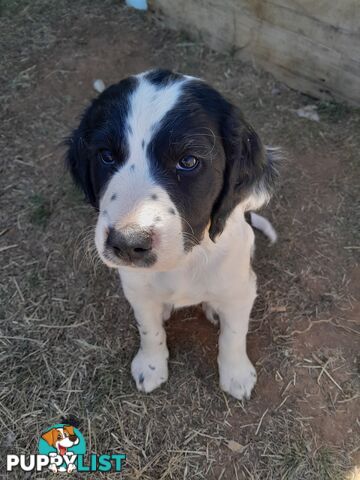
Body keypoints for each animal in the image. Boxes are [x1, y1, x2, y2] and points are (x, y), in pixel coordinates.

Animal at [69, 68, 280, 402]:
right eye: (105, 156)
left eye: (188, 161)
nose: (127, 244)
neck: (185, 259)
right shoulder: (136, 289)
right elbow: (149, 329)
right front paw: (151, 366)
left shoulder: (241, 289)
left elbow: (234, 334)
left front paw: (236, 375)